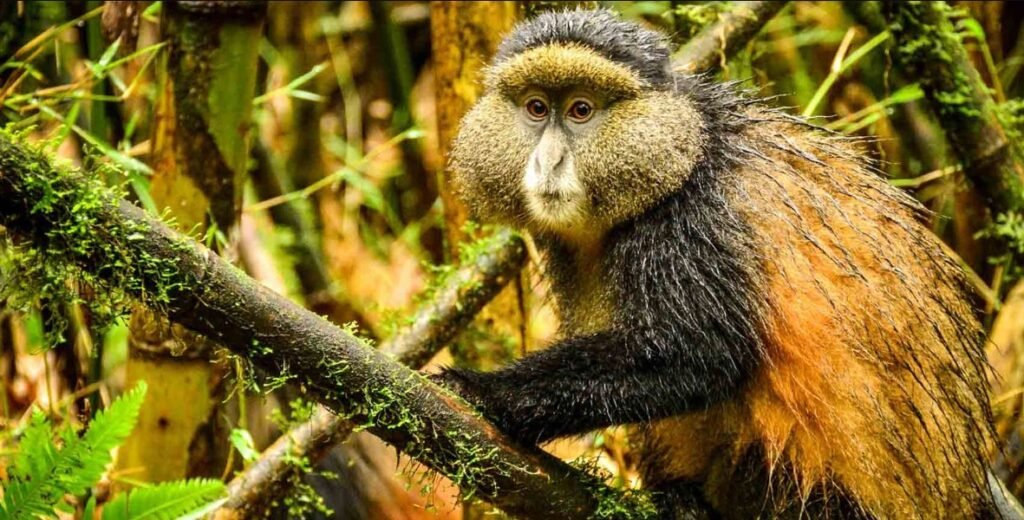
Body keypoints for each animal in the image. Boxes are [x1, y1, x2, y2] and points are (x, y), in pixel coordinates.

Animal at [433, 8, 1006, 519]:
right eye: (536, 108)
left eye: (580, 110)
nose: (548, 161)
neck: (686, 149)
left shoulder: (692, 223)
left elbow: (699, 355)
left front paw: (482, 391)